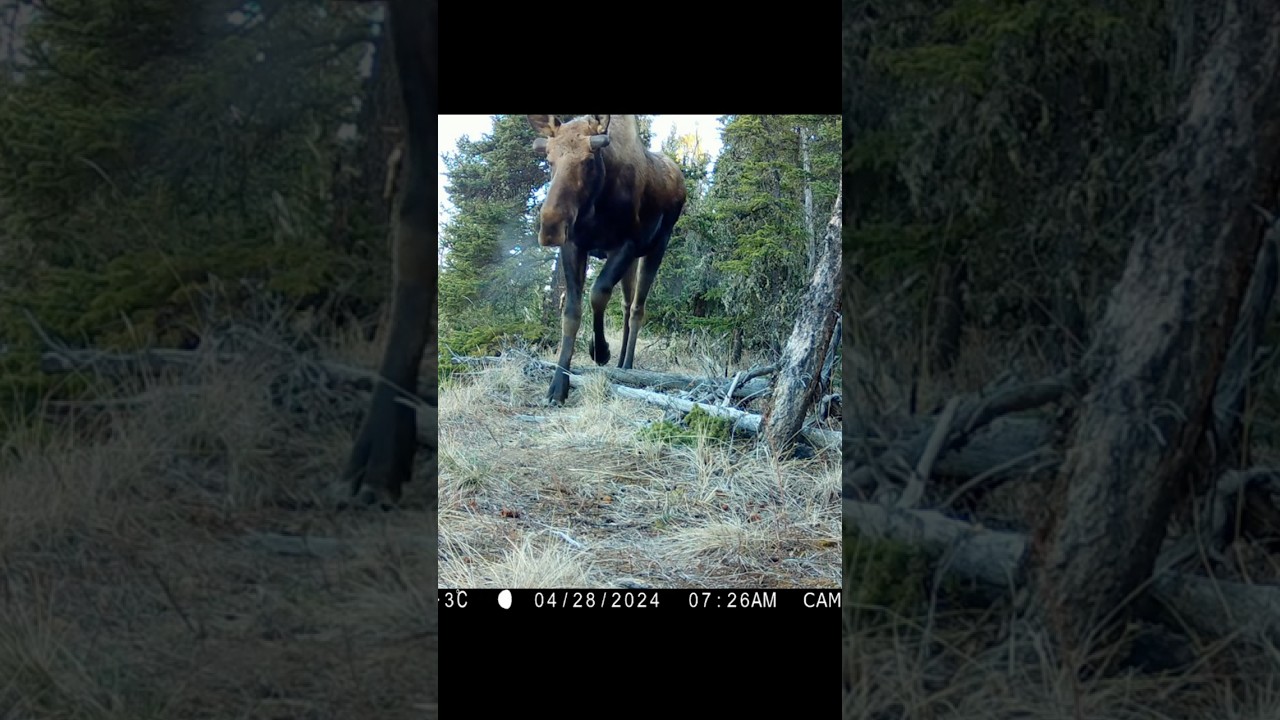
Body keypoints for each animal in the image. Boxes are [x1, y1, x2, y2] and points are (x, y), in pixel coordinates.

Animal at [527, 114, 687, 405]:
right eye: (549, 159)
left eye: (589, 160)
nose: (551, 227)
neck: (595, 205)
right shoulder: (574, 245)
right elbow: (571, 312)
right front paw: (558, 385)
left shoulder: (626, 244)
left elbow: (598, 293)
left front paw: (600, 350)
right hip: (632, 260)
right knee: (626, 304)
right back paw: (622, 361)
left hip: (657, 246)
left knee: (637, 308)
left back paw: (628, 364)